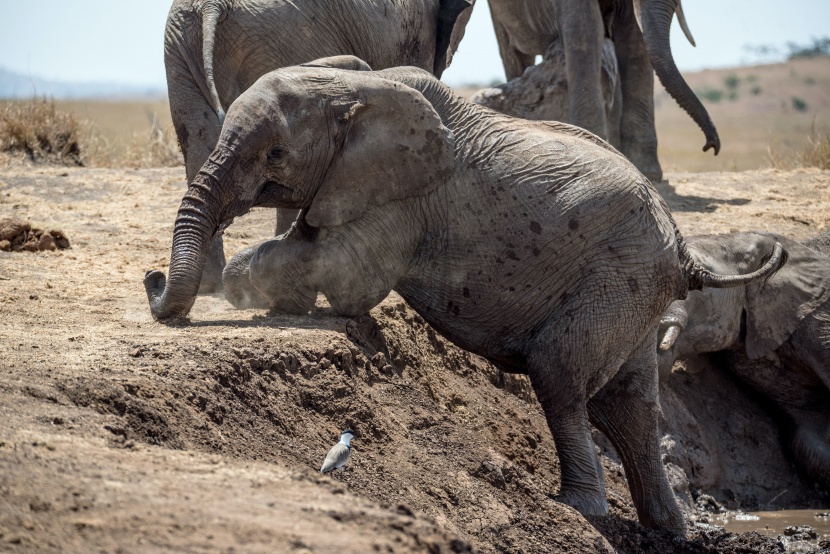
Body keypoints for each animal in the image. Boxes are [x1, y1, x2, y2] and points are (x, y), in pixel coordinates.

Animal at [143, 57, 788, 532]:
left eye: (275, 154)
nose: (152, 282)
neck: (358, 87)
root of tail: (680, 245)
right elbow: (310, 248)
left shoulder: (408, 198)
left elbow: (343, 271)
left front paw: (243, 287)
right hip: (632, 289)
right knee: (628, 404)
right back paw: (667, 531)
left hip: (616, 276)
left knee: (561, 376)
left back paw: (575, 508)